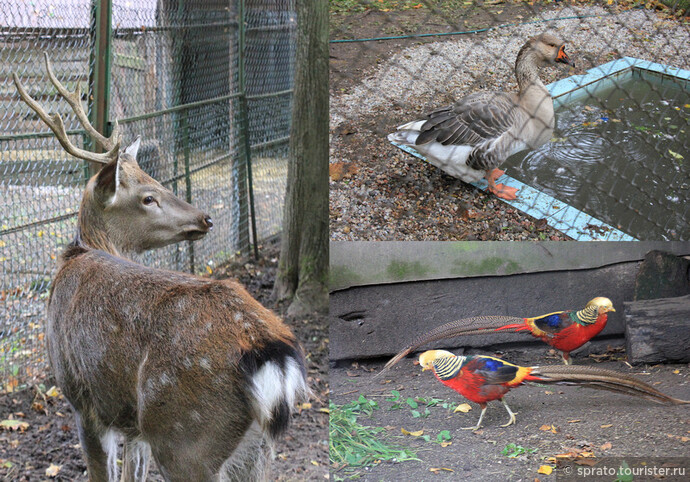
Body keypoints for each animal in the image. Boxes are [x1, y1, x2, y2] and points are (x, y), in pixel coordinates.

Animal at [12, 53, 310, 482]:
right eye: (148, 195)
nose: (205, 218)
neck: (80, 255)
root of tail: (271, 355)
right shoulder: (133, 426)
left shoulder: (84, 402)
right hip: (255, 449)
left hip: (182, 434)